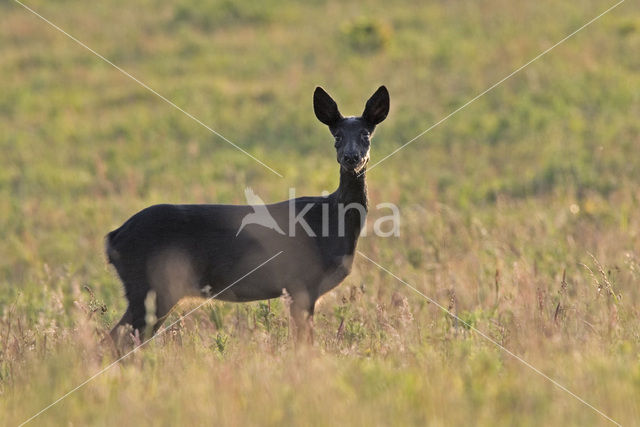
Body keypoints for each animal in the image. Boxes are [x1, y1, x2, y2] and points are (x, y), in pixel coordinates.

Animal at [107, 84, 388, 348]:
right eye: (337, 136)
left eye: (365, 134)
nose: (351, 157)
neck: (332, 222)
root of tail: (112, 238)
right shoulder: (301, 282)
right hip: (151, 284)